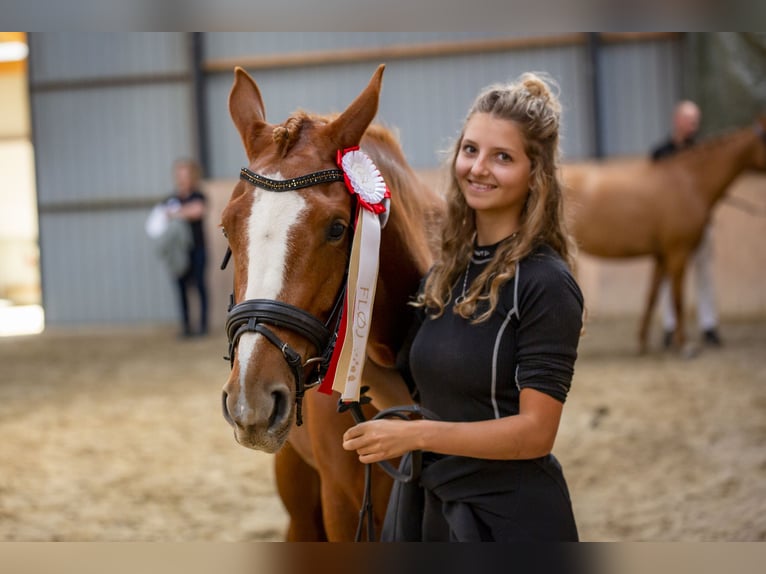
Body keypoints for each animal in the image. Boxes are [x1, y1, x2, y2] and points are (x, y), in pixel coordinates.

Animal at [564, 117, 766, 354]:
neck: (689, 182)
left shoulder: (661, 255)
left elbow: (651, 297)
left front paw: (643, 342)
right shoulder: (678, 253)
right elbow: (678, 299)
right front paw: (684, 345)